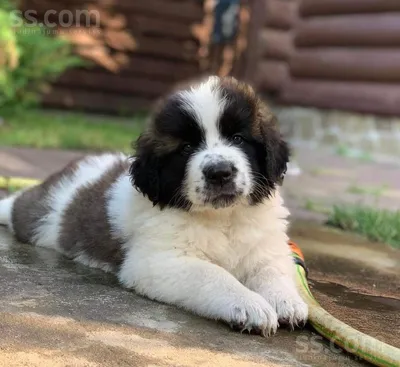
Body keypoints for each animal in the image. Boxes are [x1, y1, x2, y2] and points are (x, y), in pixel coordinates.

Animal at [0, 77, 308, 336]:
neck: (223, 218)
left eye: (238, 138)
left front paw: (285, 300)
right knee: (17, 205)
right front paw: (248, 304)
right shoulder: (158, 261)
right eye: (186, 148)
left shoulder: (267, 247)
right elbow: (212, 274)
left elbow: (273, 271)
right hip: (37, 215)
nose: (219, 172)